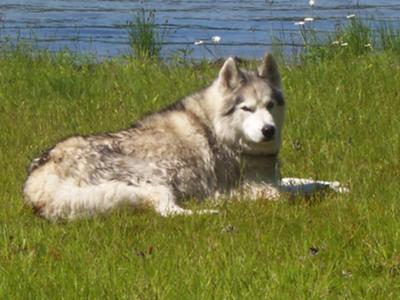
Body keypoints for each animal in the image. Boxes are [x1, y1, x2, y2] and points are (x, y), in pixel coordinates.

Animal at [22, 52, 346, 220]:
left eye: (269, 106)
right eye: (247, 108)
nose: (269, 130)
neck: (225, 136)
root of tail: (37, 178)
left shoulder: (270, 178)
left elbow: (306, 180)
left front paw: (338, 185)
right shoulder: (256, 189)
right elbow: (297, 192)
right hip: (154, 181)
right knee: (168, 211)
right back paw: (212, 211)